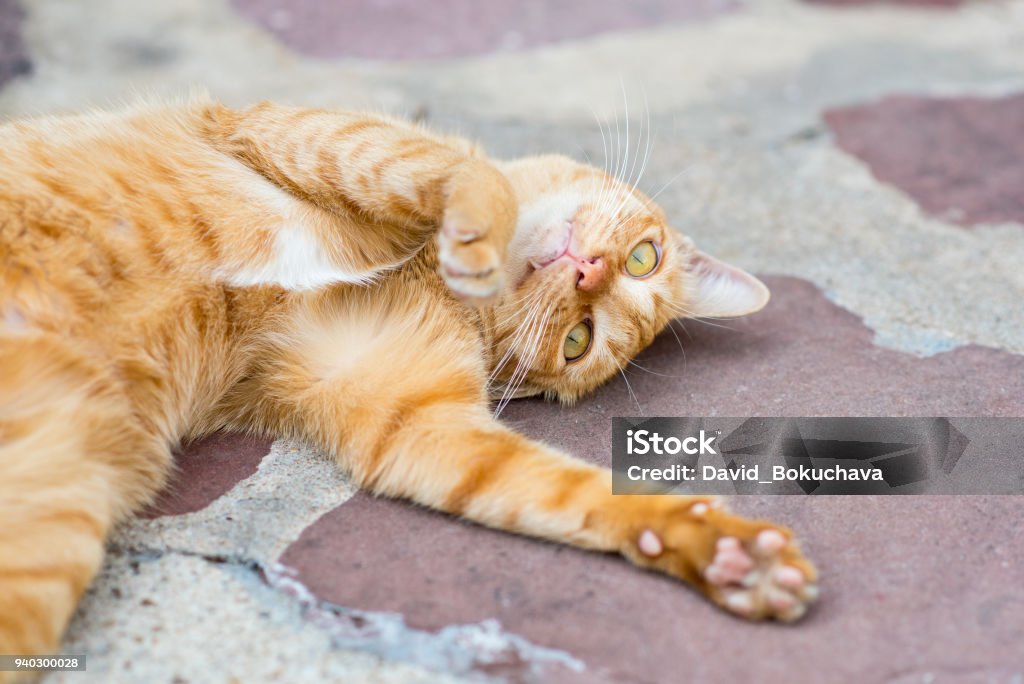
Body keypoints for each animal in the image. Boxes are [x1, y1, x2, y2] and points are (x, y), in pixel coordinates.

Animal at [0, 96, 815, 667]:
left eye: (578, 341)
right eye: (645, 258)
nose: (589, 272)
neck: (427, 271)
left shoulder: (420, 424)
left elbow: (574, 495)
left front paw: (719, 551)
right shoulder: (301, 131)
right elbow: (458, 171)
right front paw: (477, 222)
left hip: (52, 519)